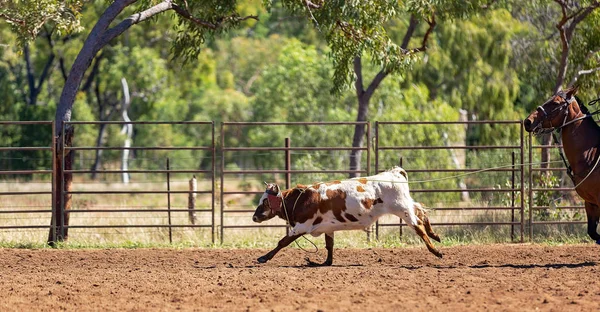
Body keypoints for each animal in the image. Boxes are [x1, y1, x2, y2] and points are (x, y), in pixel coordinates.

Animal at [251, 166, 442, 266]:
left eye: (265, 202)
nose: (254, 217)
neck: (302, 199)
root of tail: (394, 172)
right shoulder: (327, 227)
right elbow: (329, 245)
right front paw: (325, 262)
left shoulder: (302, 226)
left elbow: (282, 242)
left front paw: (263, 257)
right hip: (406, 204)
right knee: (421, 211)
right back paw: (435, 235)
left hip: (402, 209)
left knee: (418, 227)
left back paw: (436, 251)